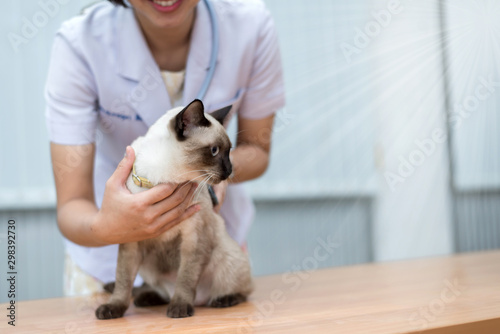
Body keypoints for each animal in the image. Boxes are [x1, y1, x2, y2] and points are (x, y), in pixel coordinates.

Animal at [95, 98, 254, 318]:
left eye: (229, 151)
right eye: (214, 151)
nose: (230, 171)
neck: (165, 179)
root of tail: (201, 301)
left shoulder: (193, 240)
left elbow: (185, 278)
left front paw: (180, 308)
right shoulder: (131, 240)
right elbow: (123, 281)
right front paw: (113, 308)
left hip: (226, 257)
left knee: (242, 290)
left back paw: (222, 300)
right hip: (147, 264)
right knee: (155, 289)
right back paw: (147, 298)